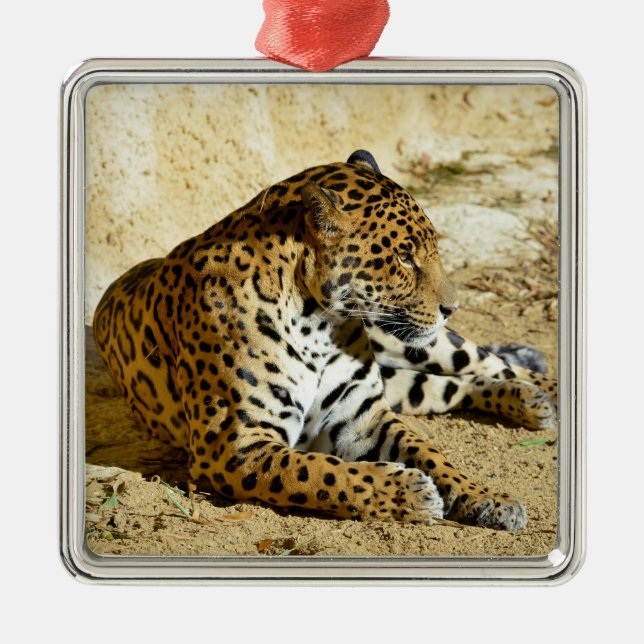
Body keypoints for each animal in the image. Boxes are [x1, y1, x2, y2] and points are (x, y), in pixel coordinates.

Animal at [93, 149, 557, 532]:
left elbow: (430, 453)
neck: (317, 325)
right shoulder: (233, 444)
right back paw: (527, 398)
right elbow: (320, 472)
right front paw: (409, 492)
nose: (452, 307)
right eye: (404, 257)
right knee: (451, 386)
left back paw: (543, 391)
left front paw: (488, 497)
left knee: (488, 363)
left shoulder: (366, 416)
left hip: (417, 342)